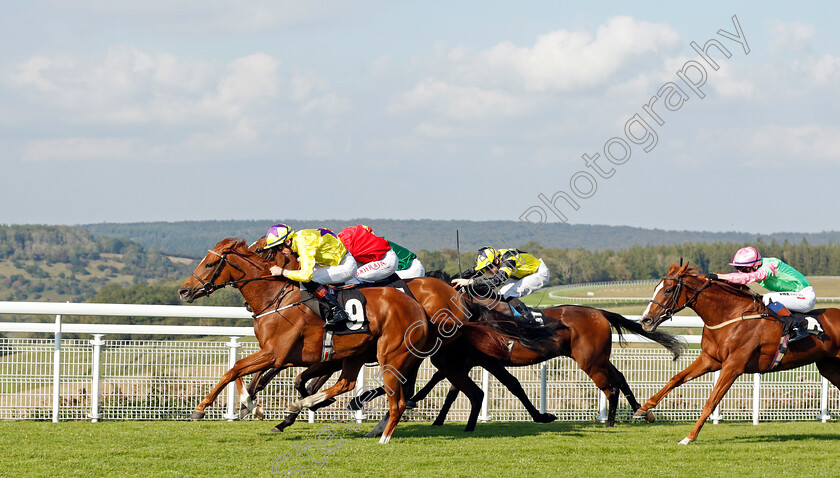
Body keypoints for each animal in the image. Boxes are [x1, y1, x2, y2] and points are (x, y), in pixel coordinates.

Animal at [632, 262, 840, 444]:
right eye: (655, 288)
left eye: (668, 290)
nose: (645, 320)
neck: (730, 316)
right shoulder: (710, 359)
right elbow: (676, 378)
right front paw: (644, 409)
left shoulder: (733, 366)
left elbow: (711, 402)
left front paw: (689, 437)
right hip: (829, 367)